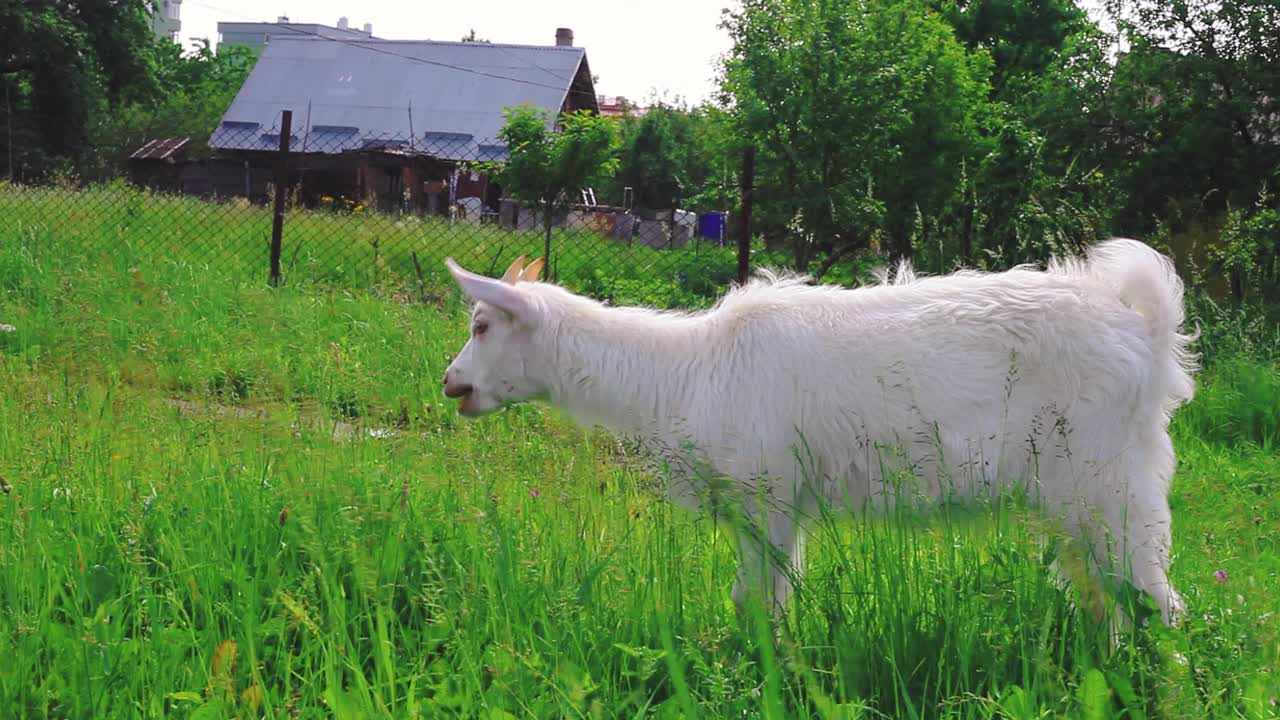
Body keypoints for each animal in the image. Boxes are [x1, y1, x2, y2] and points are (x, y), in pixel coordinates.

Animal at [442, 238, 1198, 625]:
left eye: (481, 325)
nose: (452, 385)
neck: (687, 367)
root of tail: (1146, 333)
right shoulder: (775, 507)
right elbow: (762, 598)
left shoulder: (768, 497)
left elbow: (760, 604)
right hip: (1081, 496)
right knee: (1108, 599)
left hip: (1110, 482)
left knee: (1158, 601)